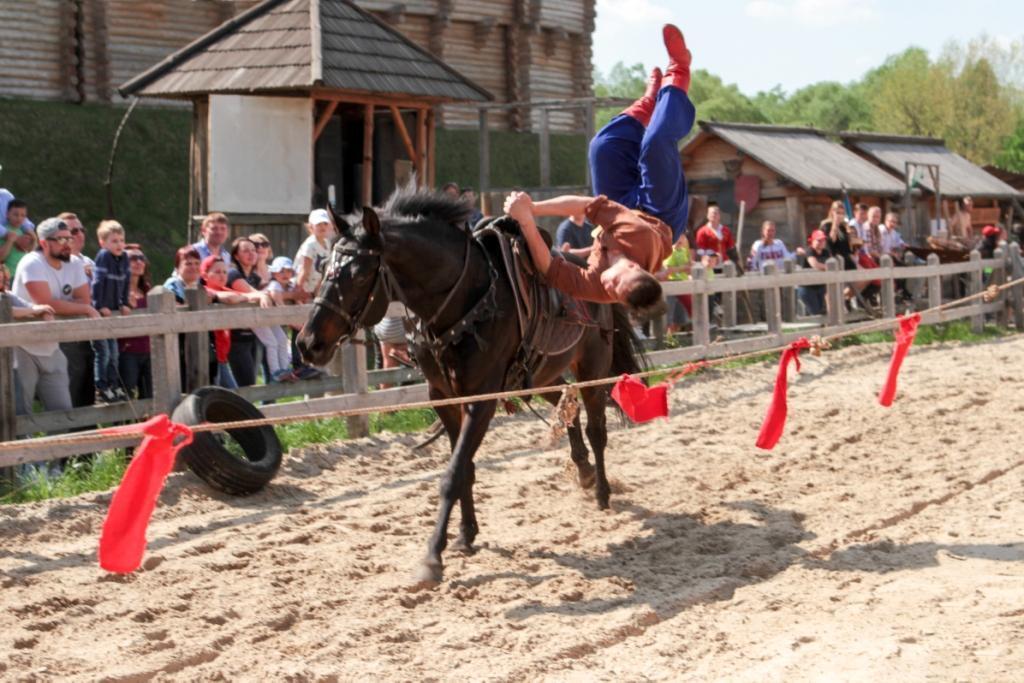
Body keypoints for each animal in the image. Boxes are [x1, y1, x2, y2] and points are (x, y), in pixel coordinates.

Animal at [296, 188, 643, 589]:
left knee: (596, 428)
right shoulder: (444, 397)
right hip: (540, 376)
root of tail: (591, 272)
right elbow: (464, 468)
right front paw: (465, 533)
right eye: (323, 268)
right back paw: (584, 471)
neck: (466, 299)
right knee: (564, 404)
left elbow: (454, 473)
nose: (308, 343)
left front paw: (432, 557)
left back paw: (602, 491)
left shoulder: (481, 400)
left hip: (592, 368)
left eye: (360, 272)